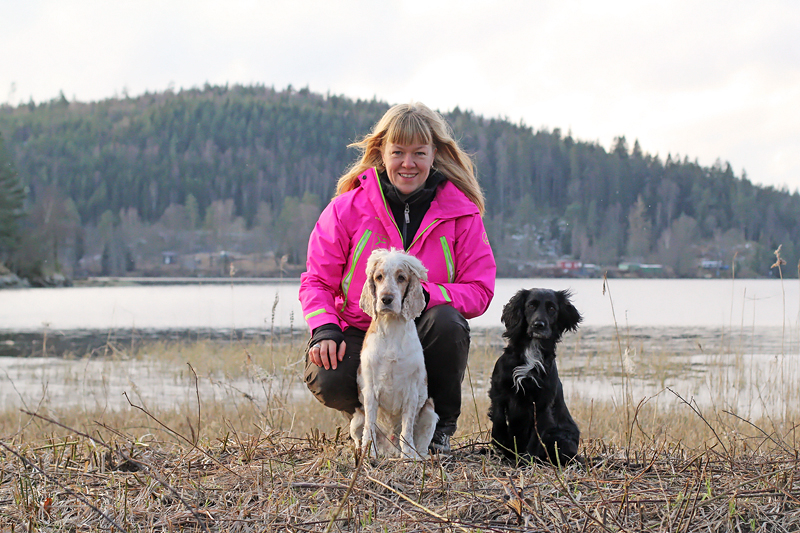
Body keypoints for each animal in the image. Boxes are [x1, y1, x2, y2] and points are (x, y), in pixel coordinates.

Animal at [350, 247, 438, 460]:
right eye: (379, 277)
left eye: (401, 277)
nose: (386, 299)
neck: (391, 328)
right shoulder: (370, 390)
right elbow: (370, 428)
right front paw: (369, 453)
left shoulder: (412, 391)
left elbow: (407, 428)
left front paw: (408, 456)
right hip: (355, 419)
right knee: (359, 435)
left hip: (430, 412)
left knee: (423, 443)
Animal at [488, 288, 580, 464]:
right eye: (531, 305)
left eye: (552, 308)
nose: (539, 325)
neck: (532, 349)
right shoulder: (498, 391)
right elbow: (498, 420)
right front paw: (502, 442)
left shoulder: (542, 403)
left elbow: (536, 437)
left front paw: (527, 461)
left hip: (563, 438)